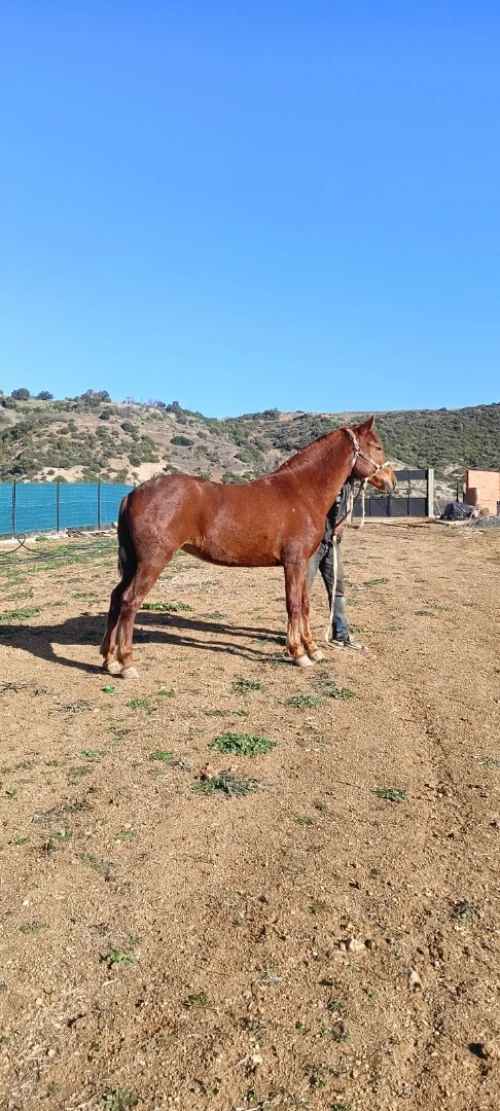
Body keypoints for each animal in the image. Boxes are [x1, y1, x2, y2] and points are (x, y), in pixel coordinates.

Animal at [100, 416, 396, 677]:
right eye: (378, 446)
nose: (392, 481)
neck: (302, 491)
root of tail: (131, 494)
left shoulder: (304, 563)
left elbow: (305, 604)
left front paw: (312, 649)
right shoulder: (294, 562)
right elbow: (293, 605)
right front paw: (299, 654)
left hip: (134, 564)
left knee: (116, 597)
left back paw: (109, 660)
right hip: (153, 562)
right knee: (130, 601)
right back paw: (127, 664)